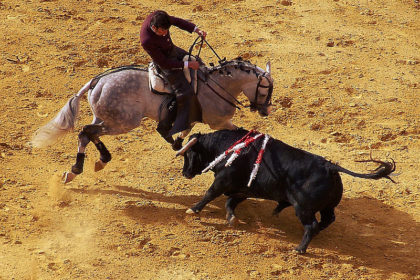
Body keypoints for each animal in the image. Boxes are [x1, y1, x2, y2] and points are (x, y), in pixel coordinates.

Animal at [32, 58, 276, 183]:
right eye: (265, 89)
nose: (266, 110)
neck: (217, 85)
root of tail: (97, 81)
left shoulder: (191, 119)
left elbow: (183, 132)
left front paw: (177, 143)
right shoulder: (219, 122)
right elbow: (240, 132)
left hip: (105, 117)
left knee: (87, 133)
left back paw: (86, 166)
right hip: (124, 122)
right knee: (87, 131)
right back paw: (90, 163)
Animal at [178, 129, 398, 254]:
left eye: (188, 154)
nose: (184, 173)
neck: (228, 147)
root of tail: (330, 167)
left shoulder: (223, 181)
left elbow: (210, 194)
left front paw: (193, 209)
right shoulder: (243, 188)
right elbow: (230, 202)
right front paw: (231, 218)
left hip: (303, 208)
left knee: (312, 225)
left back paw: (300, 249)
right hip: (327, 207)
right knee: (328, 219)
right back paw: (314, 235)